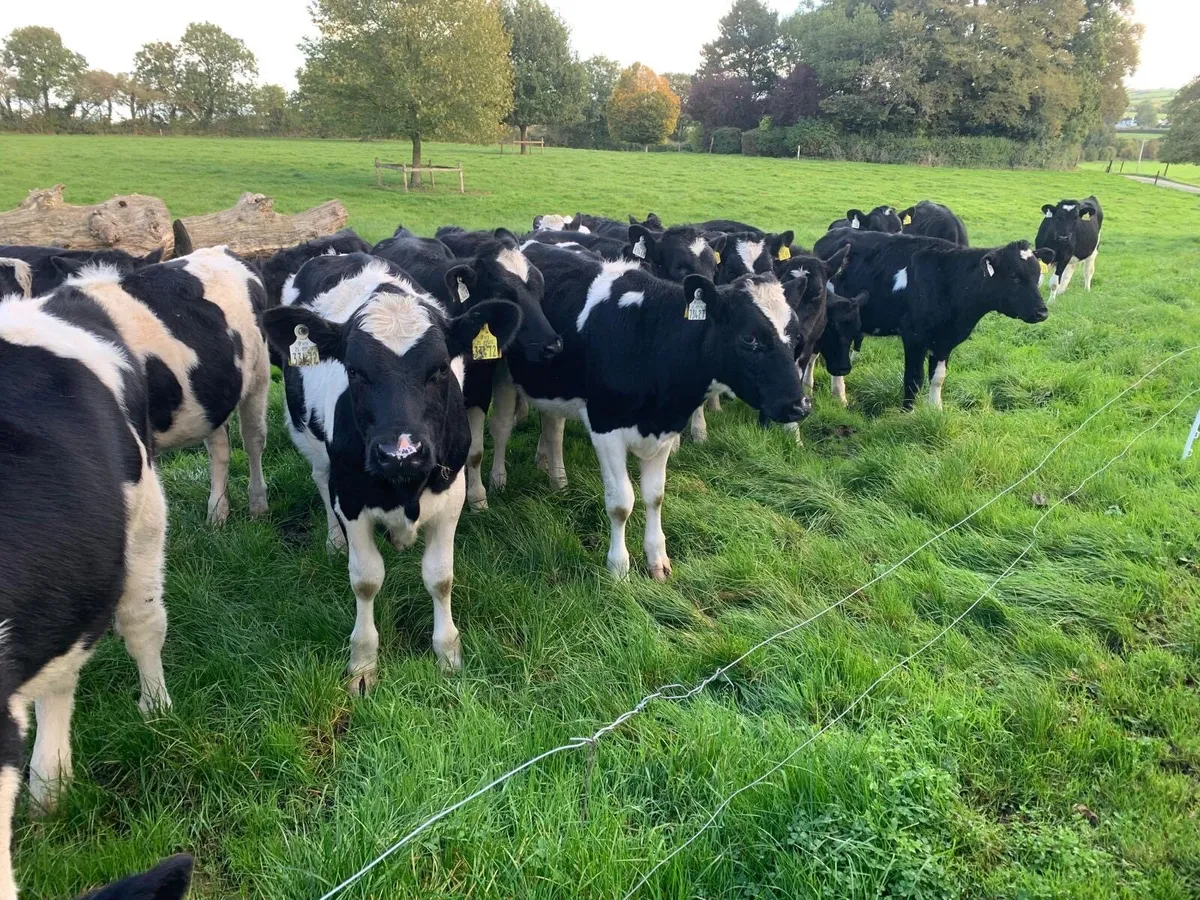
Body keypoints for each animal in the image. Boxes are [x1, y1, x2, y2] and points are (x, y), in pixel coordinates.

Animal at [56, 247, 271, 524]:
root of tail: (220, 249)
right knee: (219, 446)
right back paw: (217, 513)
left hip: (259, 375)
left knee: (253, 439)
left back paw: (258, 505)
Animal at [264, 253, 521, 688]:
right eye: (353, 371)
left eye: (440, 369)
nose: (400, 453)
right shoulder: (351, 496)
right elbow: (366, 579)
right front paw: (363, 663)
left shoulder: (451, 491)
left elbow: (440, 576)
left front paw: (447, 652)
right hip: (309, 441)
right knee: (320, 480)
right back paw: (334, 541)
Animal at [371, 233, 560, 511]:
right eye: (503, 292)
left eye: (540, 288)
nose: (552, 345)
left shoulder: (484, 383)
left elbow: (480, 446)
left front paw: (482, 494)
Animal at [499, 241, 809, 580]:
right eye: (750, 338)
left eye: (796, 337)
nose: (800, 405)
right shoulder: (605, 427)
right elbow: (621, 502)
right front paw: (618, 568)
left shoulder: (667, 428)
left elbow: (655, 495)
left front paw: (657, 560)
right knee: (503, 429)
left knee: (553, 425)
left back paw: (554, 475)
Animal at [814, 229, 1053, 409]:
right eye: (1014, 277)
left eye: (1037, 276)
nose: (1042, 312)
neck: (948, 279)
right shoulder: (914, 337)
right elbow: (913, 379)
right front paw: (907, 414)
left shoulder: (945, 341)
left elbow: (937, 378)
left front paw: (935, 410)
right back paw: (836, 395)